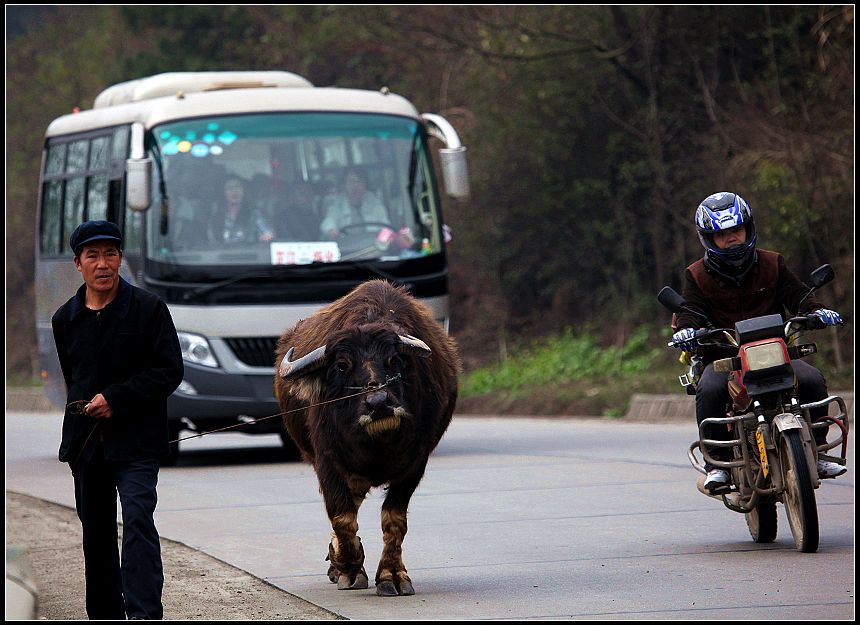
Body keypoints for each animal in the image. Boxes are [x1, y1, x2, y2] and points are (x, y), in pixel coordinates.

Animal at [278, 280, 464, 596]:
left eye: (394, 359)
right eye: (341, 365)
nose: (378, 403)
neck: (377, 443)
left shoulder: (416, 463)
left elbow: (394, 521)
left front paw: (392, 576)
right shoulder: (326, 461)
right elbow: (342, 518)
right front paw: (349, 566)